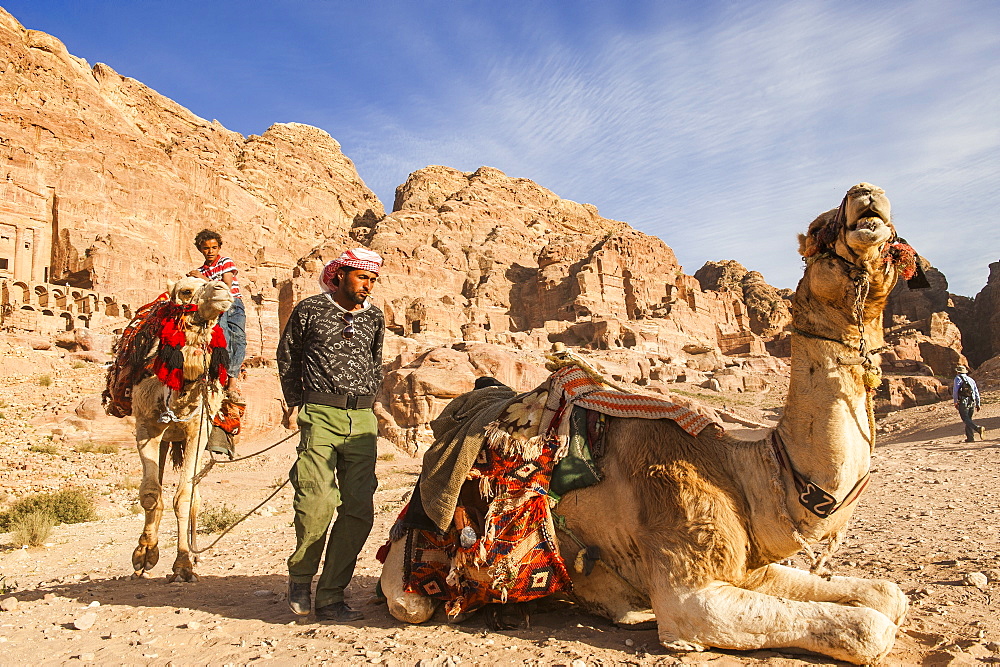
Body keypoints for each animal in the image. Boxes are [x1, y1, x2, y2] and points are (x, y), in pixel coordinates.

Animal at [126, 274, 231, 580]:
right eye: (185, 291)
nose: (223, 291)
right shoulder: (146, 427)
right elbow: (150, 494)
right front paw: (144, 554)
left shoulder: (199, 431)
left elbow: (184, 497)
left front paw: (183, 564)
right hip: (163, 439)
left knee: (194, 493)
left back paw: (195, 555)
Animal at [382, 184, 920, 667]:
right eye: (817, 232)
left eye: (897, 240)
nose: (868, 197)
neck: (745, 468)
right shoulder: (691, 591)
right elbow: (869, 628)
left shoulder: (746, 567)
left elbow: (889, 595)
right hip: (411, 572)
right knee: (411, 601)